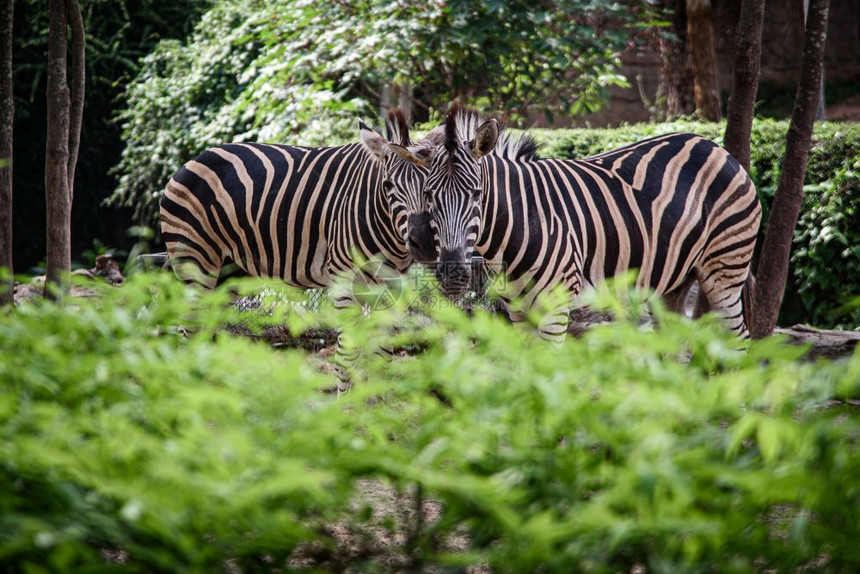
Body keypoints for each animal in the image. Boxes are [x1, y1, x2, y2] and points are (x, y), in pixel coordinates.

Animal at [390, 105, 760, 340]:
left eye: (478, 195)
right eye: (429, 194)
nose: (453, 275)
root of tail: (711, 144)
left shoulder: (556, 308)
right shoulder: (520, 311)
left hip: (725, 267)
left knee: (740, 340)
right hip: (674, 278)